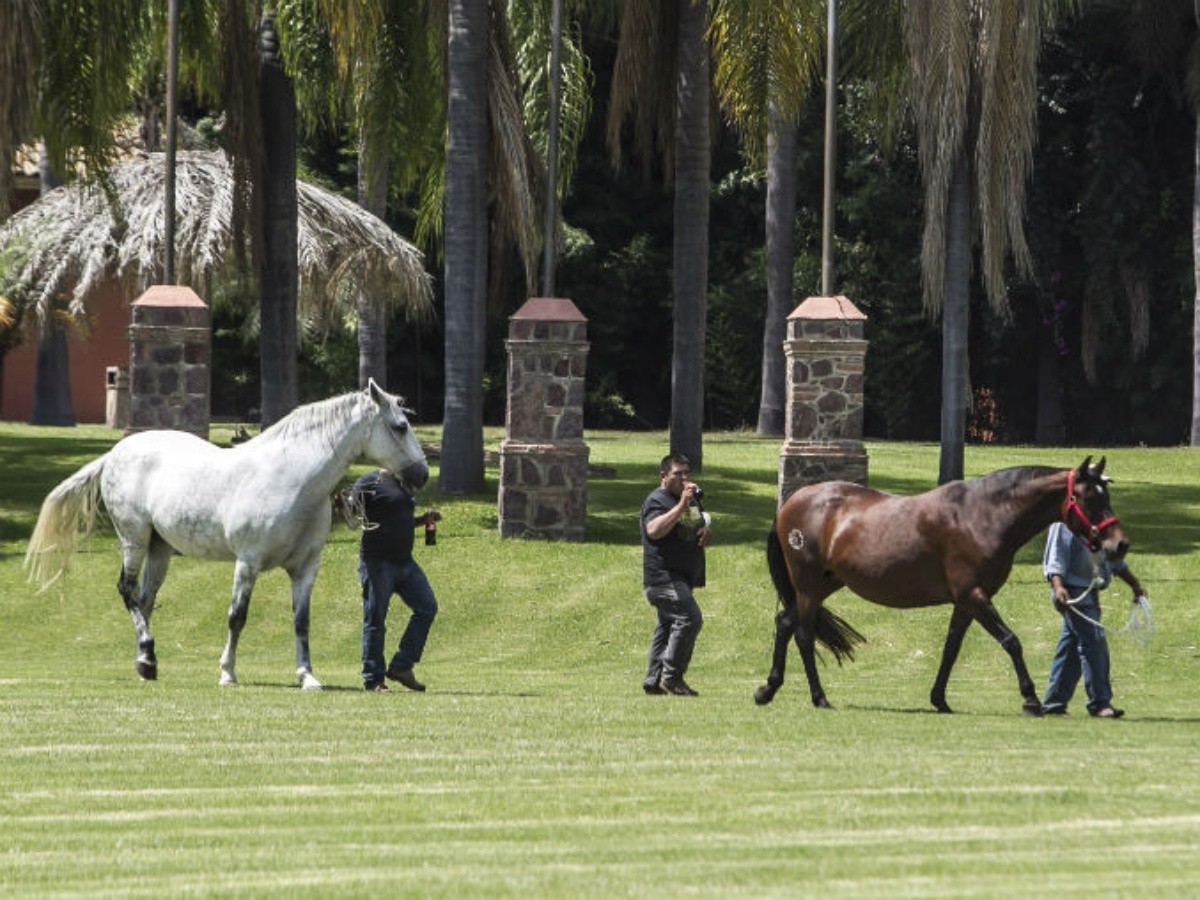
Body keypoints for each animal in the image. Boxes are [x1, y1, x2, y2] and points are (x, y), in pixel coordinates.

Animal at [23, 379, 429, 691]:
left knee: (144, 600)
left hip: (159, 550)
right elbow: (237, 616)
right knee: (127, 591)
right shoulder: (247, 563)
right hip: (134, 540)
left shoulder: (305, 569)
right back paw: (148, 657)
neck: (290, 478)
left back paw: (145, 663)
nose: (422, 474)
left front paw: (307, 676)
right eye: (399, 426)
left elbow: (301, 621)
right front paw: (227, 673)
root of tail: (115, 453)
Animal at [753, 458, 1128, 720]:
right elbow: (1011, 641)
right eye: (1088, 498)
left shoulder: (966, 601)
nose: (1119, 544)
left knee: (785, 623)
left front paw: (939, 699)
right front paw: (1031, 699)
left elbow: (951, 648)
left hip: (823, 585)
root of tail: (792, 502)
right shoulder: (974, 596)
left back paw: (768, 689)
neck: (982, 515)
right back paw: (819, 697)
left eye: (1106, 495)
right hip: (808, 585)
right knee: (802, 635)